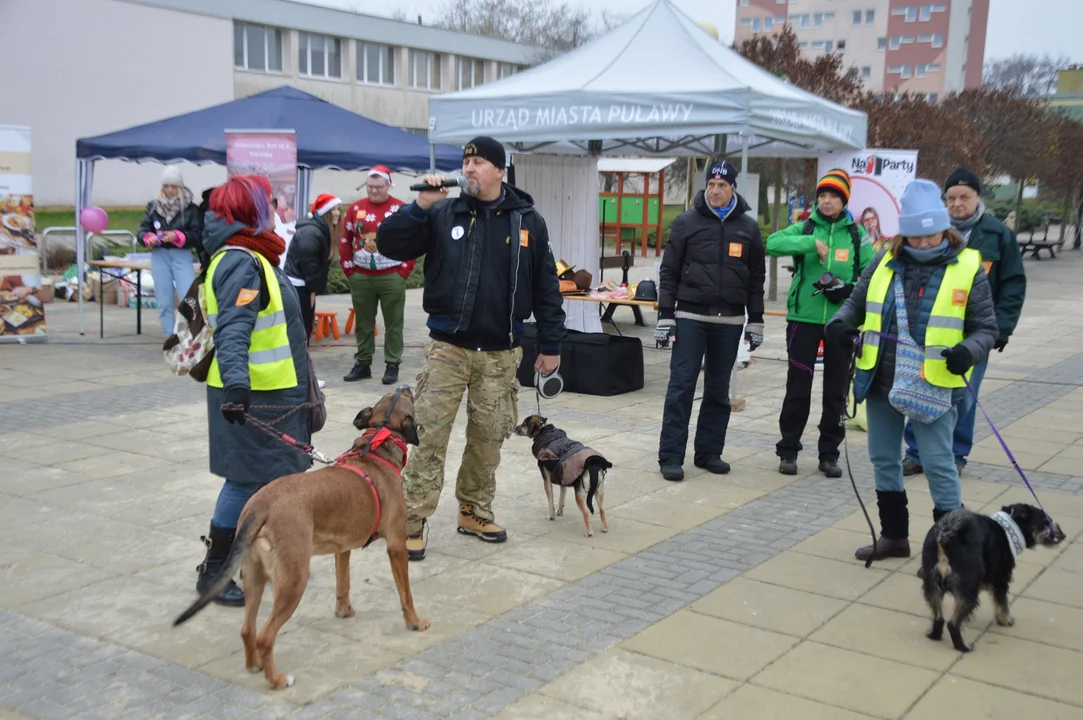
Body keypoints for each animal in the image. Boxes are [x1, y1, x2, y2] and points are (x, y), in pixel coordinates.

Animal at [172, 385, 426, 688]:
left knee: (247, 629)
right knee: (265, 636)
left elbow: (343, 584)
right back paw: (277, 679)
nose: (404, 386)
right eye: (406, 398)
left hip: (254, 576)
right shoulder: (397, 547)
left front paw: (344, 611)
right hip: (294, 581)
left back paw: (254, 665)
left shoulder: (343, 549)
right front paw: (415, 622)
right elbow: (406, 593)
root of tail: (260, 505)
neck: (377, 447)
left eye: (394, 395)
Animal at [922, 504, 1065, 649]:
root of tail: (944, 538)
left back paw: (935, 636)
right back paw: (963, 647)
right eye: (1046, 522)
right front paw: (1005, 621)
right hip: (968, 589)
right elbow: (1002, 604)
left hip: (932, 586)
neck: (1008, 529)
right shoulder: (1000, 580)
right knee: (953, 624)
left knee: (939, 618)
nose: (1063, 534)